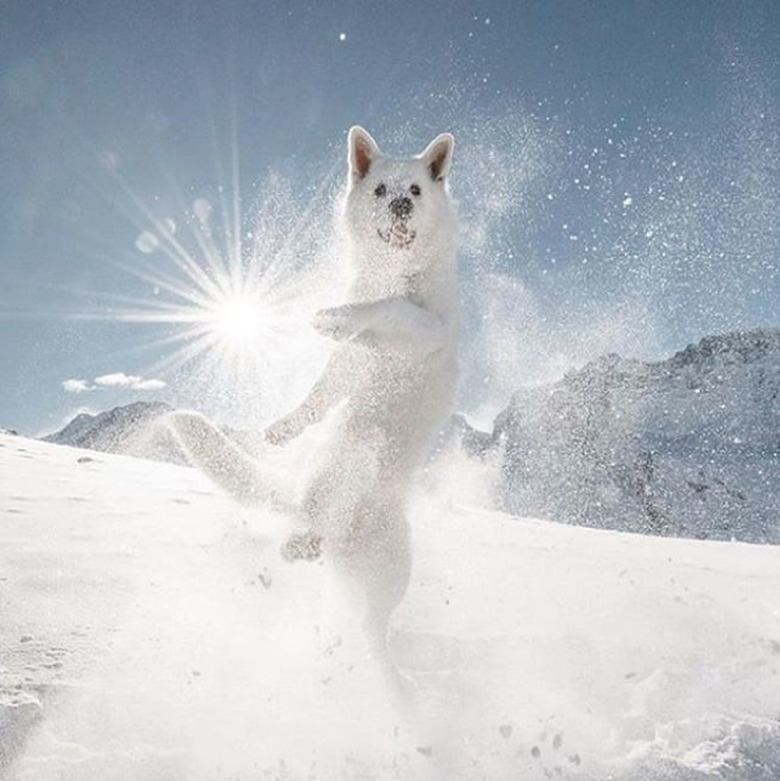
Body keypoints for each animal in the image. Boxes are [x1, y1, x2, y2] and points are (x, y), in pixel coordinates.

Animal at [165, 129, 458, 688]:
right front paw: (284, 427)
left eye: (415, 188)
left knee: (372, 632)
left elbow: (386, 308)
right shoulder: (352, 366)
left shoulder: (427, 330)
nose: (403, 205)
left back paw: (399, 686)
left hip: (391, 567)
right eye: (381, 190)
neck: (393, 274)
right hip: (341, 478)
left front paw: (340, 317)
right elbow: (321, 392)